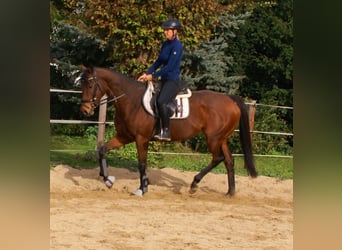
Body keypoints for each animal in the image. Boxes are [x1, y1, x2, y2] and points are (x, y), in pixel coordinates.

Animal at [75, 64, 256, 195]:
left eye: (90, 83)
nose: (84, 110)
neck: (131, 100)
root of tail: (229, 99)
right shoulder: (124, 136)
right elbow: (102, 150)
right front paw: (108, 180)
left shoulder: (141, 138)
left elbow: (142, 163)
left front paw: (142, 188)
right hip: (221, 138)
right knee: (229, 161)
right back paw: (230, 192)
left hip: (213, 138)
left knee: (218, 158)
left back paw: (194, 184)